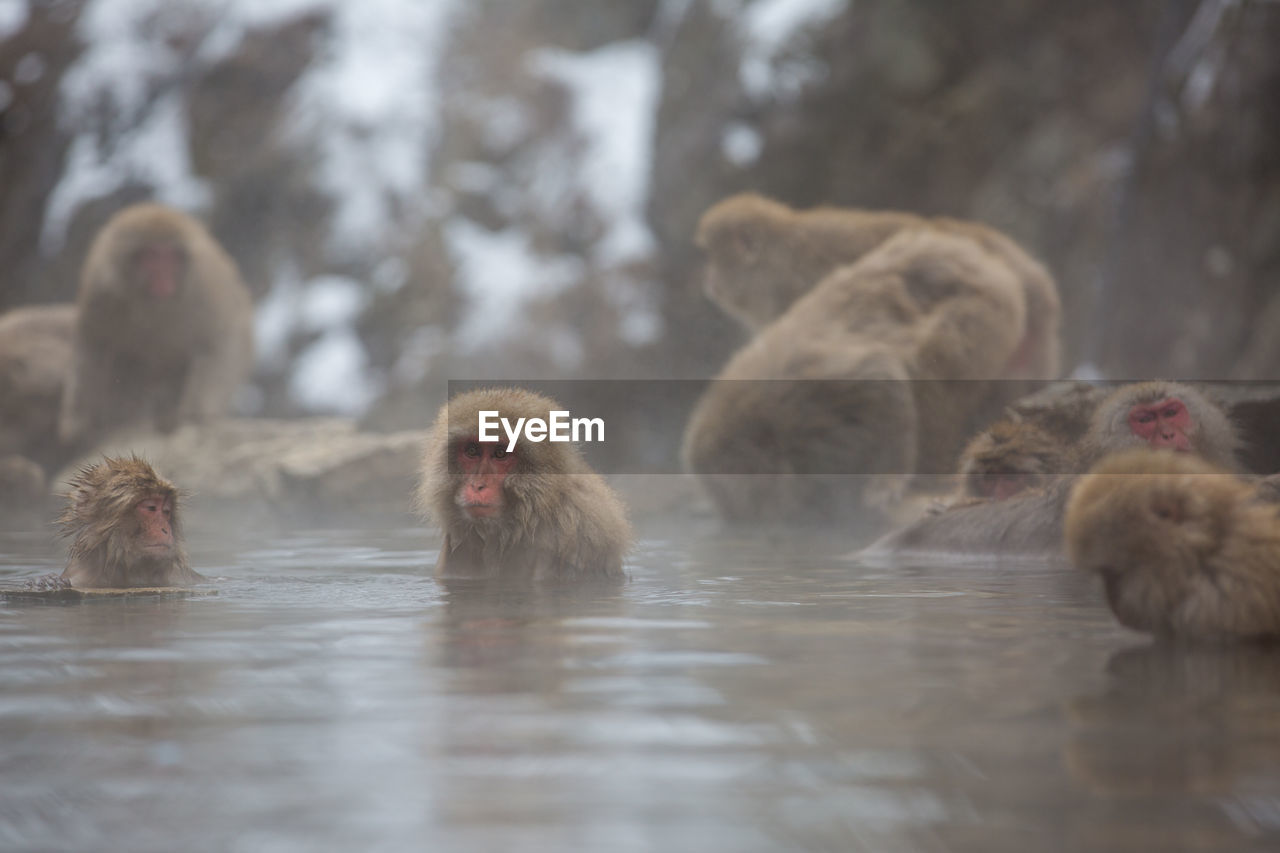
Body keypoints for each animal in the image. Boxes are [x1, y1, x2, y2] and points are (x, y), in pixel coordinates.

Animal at [59, 204, 254, 440]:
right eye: (151, 256)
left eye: (170, 256)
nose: (163, 276)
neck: (153, 304)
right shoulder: (101, 289)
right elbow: (91, 341)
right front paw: (79, 420)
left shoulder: (203, 289)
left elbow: (220, 339)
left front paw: (195, 413)